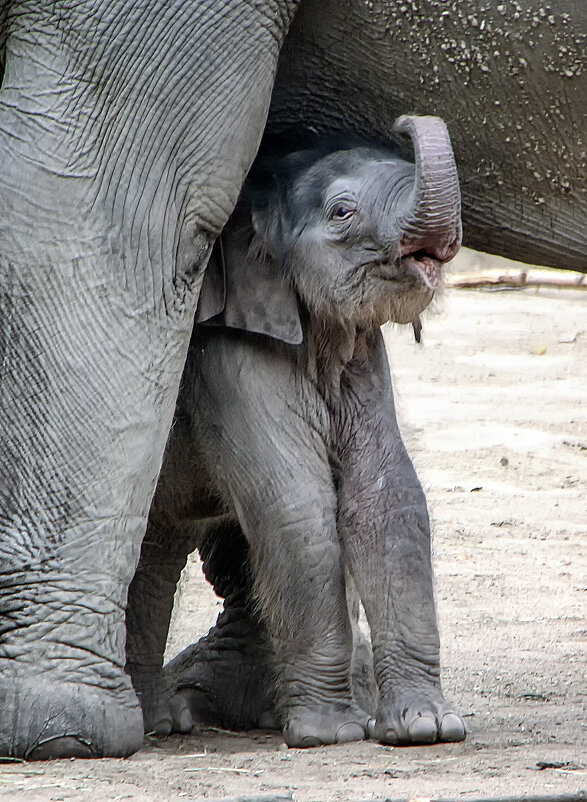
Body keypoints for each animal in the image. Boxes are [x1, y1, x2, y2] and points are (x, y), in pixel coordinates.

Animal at [126, 115, 466, 748]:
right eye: (341, 212)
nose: (405, 121)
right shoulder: (229, 363)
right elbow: (296, 507)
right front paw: (331, 735)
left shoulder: (364, 360)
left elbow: (388, 501)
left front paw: (427, 728)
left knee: (155, 547)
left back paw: (159, 723)